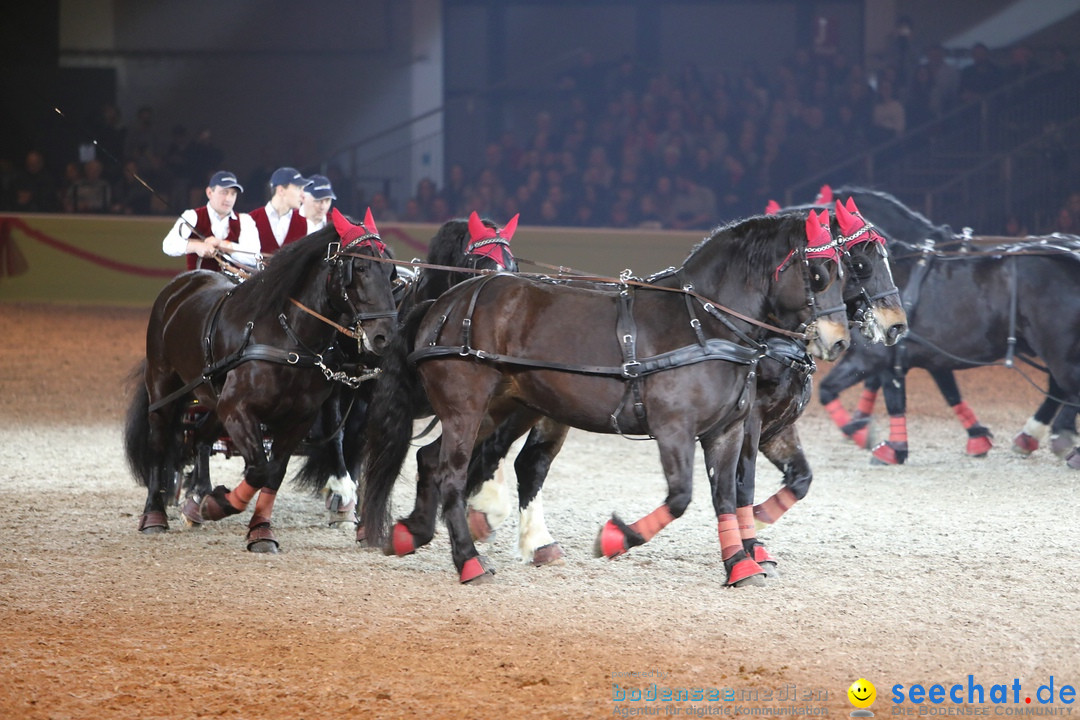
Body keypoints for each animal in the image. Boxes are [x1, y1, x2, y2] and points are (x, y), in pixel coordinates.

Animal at [122, 208, 399, 552]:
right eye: (359, 267)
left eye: (390, 271)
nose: (385, 336)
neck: (287, 338)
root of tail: (181, 285)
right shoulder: (238, 409)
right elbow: (258, 468)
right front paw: (219, 505)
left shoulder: (297, 419)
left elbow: (273, 473)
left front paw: (259, 529)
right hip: (164, 386)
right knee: (160, 443)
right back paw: (155, 514)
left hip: (213, 399)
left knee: (200, 438)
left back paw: (197, 494)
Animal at [362, 209, 851, 587]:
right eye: (818, 274)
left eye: (845, 272)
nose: (839, 341)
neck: (704, 323)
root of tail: (447, 300)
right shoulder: (674, 428)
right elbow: (681, 497)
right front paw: (616, 538)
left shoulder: (727, 430)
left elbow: (728, 497)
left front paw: (739, 565)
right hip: (466, 407)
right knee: (452, 472)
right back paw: (469, 561)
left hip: (499, 408)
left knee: (431, 459)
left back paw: (414, 533)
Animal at [812, 185, 1080, 468]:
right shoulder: (925, 357)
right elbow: (934, 394)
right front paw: (974, 438)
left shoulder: (874, 357)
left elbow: (834, 390)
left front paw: (868, 437)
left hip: (1057, 350)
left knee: (1064, 385)